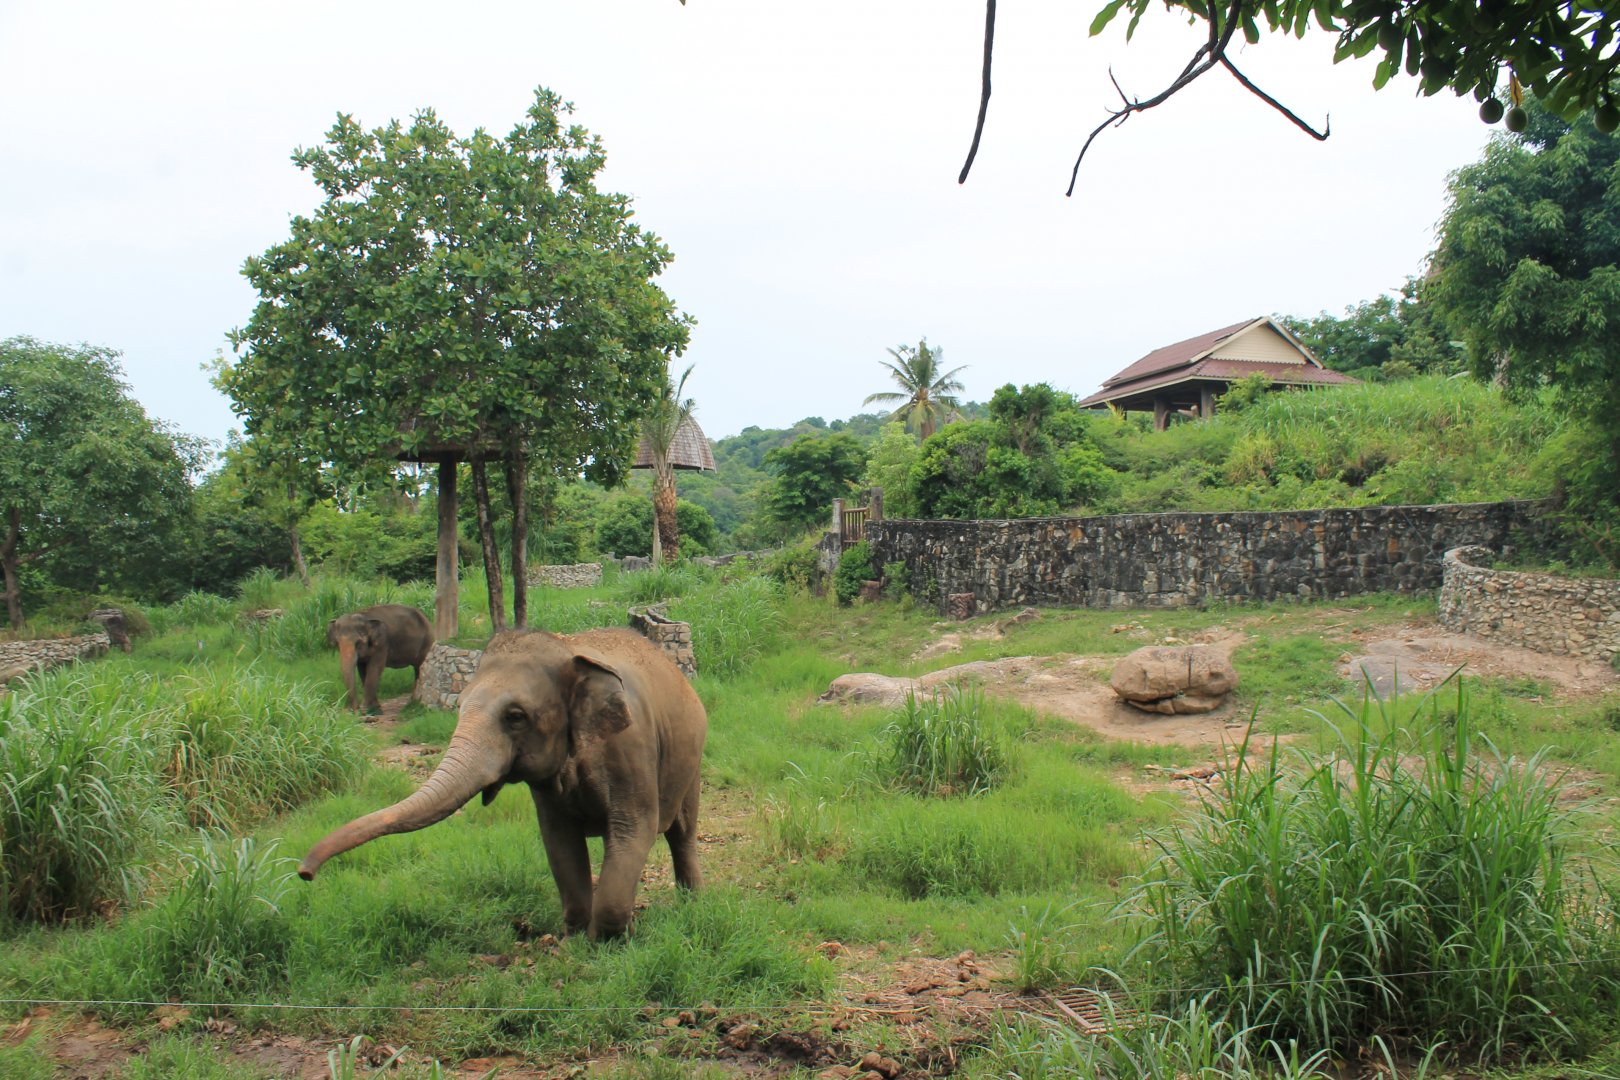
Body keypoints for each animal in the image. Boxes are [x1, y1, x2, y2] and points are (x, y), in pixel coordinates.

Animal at [297, 627, 707, 940]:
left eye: (515, 716)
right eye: (459, 705)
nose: (304, 873)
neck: (567, 650)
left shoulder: (630, 748)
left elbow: (634, 827)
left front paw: (608, 941)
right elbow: (559, 841)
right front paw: (576, 937)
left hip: (692, 760)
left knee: (681, 833)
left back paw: (692, 903)